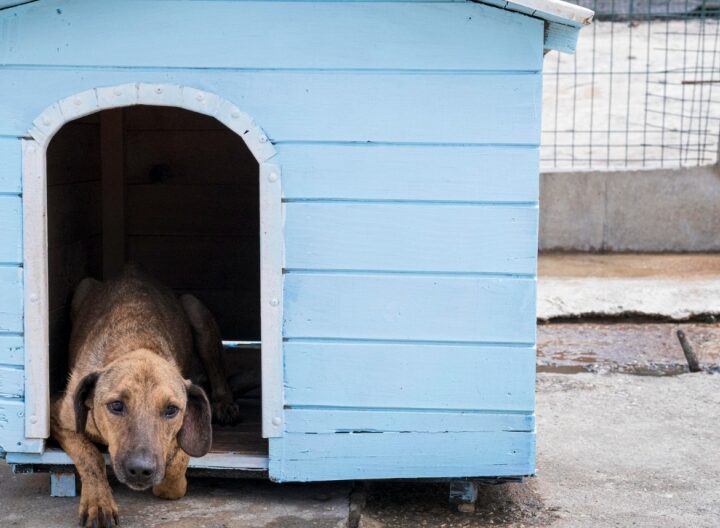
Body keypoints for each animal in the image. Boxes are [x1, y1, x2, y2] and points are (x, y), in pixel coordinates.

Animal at [52, 266, 242, 524]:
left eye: (171, 410)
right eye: (116, 405)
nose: (141, 470)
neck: (136, 344)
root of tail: (132, 270)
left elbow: (174, 472)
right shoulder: (60, 419)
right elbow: (90, 455)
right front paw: (98, 503)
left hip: (195, 309)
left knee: (218, 369)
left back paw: (224, 403)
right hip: (83, 288)